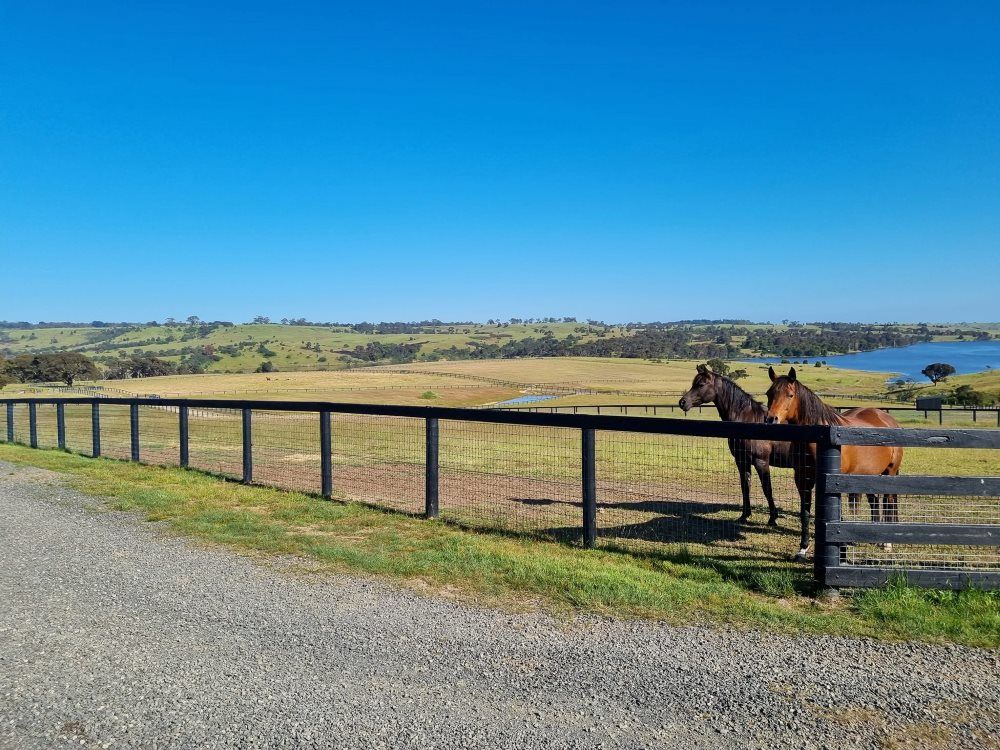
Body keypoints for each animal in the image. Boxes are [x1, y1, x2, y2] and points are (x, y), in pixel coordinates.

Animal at [764, 366, 903, 560]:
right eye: (769, 393)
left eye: (790, 395)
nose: (771, 419)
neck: (819, 440)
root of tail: (888, 420)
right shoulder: (803, 481)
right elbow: (805, 513)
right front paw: (802, 549)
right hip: (869, 474)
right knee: (875, 502)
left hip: (889, 473)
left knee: (888, 502)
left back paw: (887, 543)